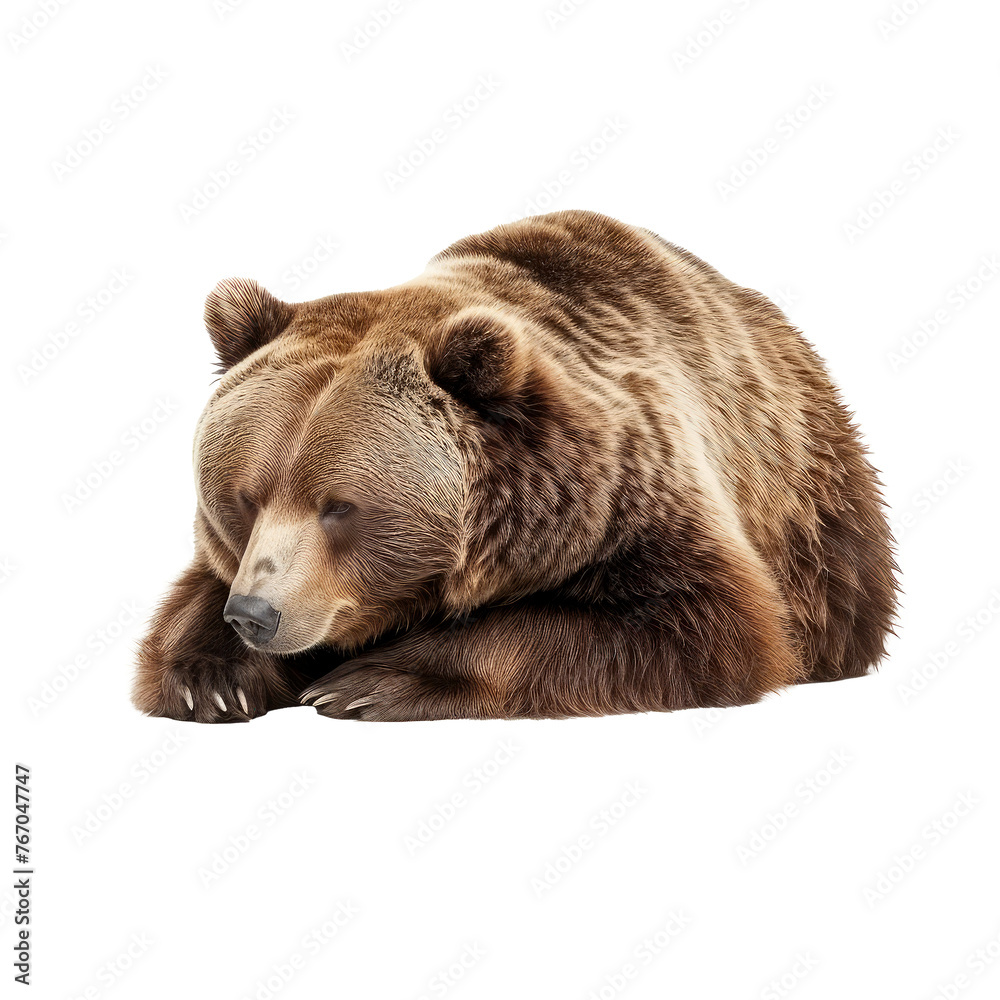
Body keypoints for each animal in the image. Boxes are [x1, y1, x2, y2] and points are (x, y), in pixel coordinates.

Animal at [132, 209, 897, 723]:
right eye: (245, 497)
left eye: (339, 506)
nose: (256, 615)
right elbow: (193, 600)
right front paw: (212, 677)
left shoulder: (636, 498)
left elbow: (699, 625)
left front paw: (366, 681)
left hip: (810, 509)